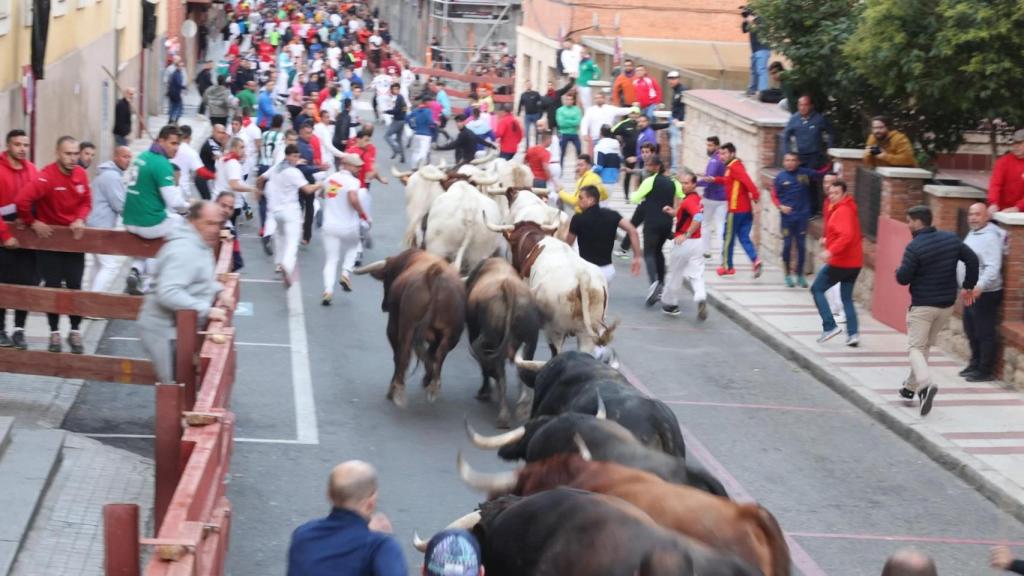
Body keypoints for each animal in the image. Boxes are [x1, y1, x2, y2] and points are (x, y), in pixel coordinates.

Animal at [352, 249, 464, 405]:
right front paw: (427, 378)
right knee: (439, 354)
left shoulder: (394, 325)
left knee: (404, 354)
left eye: (386, 279)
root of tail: (434, 272)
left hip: (406, 326)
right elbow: (430, 354)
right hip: (452, 334)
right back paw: (433, 386)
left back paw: (397, 389)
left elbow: (399, 356)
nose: (384, 306)